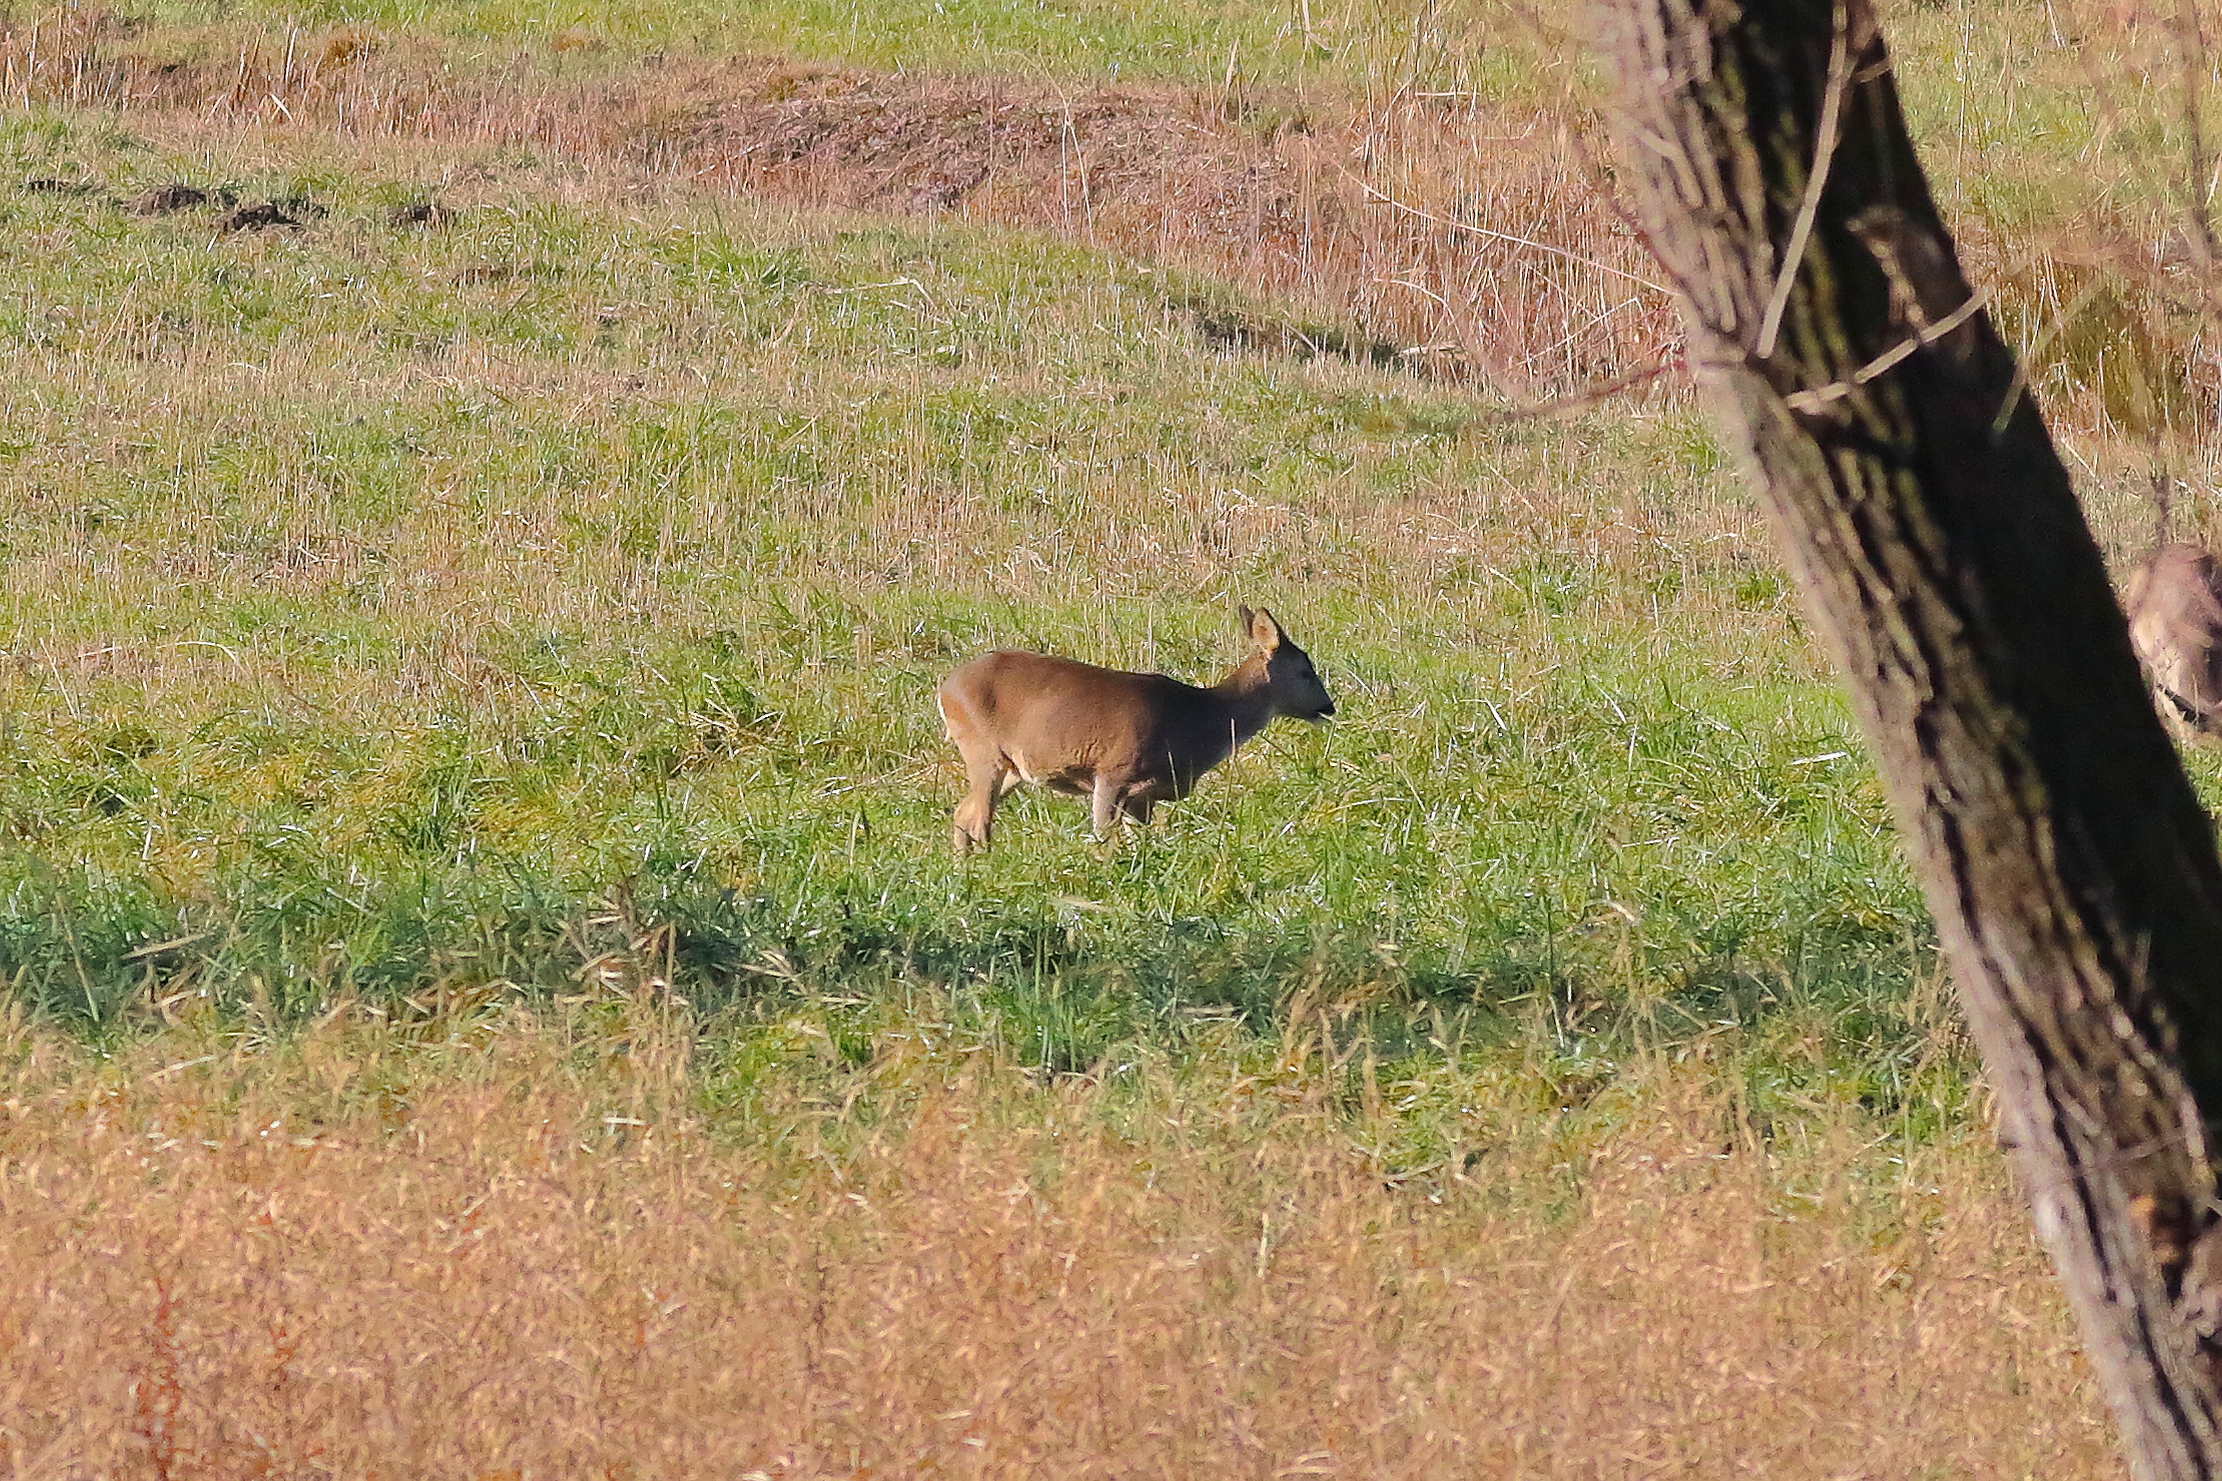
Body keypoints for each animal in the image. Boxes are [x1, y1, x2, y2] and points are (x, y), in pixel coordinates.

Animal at [935, 606, 1336, 854]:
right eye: (1305, 670)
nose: (1328, 707)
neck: (1200, 720)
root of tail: (945, 688)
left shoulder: (1144, 796)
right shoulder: (1113, 772)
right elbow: (1102, 837)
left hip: (1012, 767)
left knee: (963, 813)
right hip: (981, 747)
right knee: (979, 819)